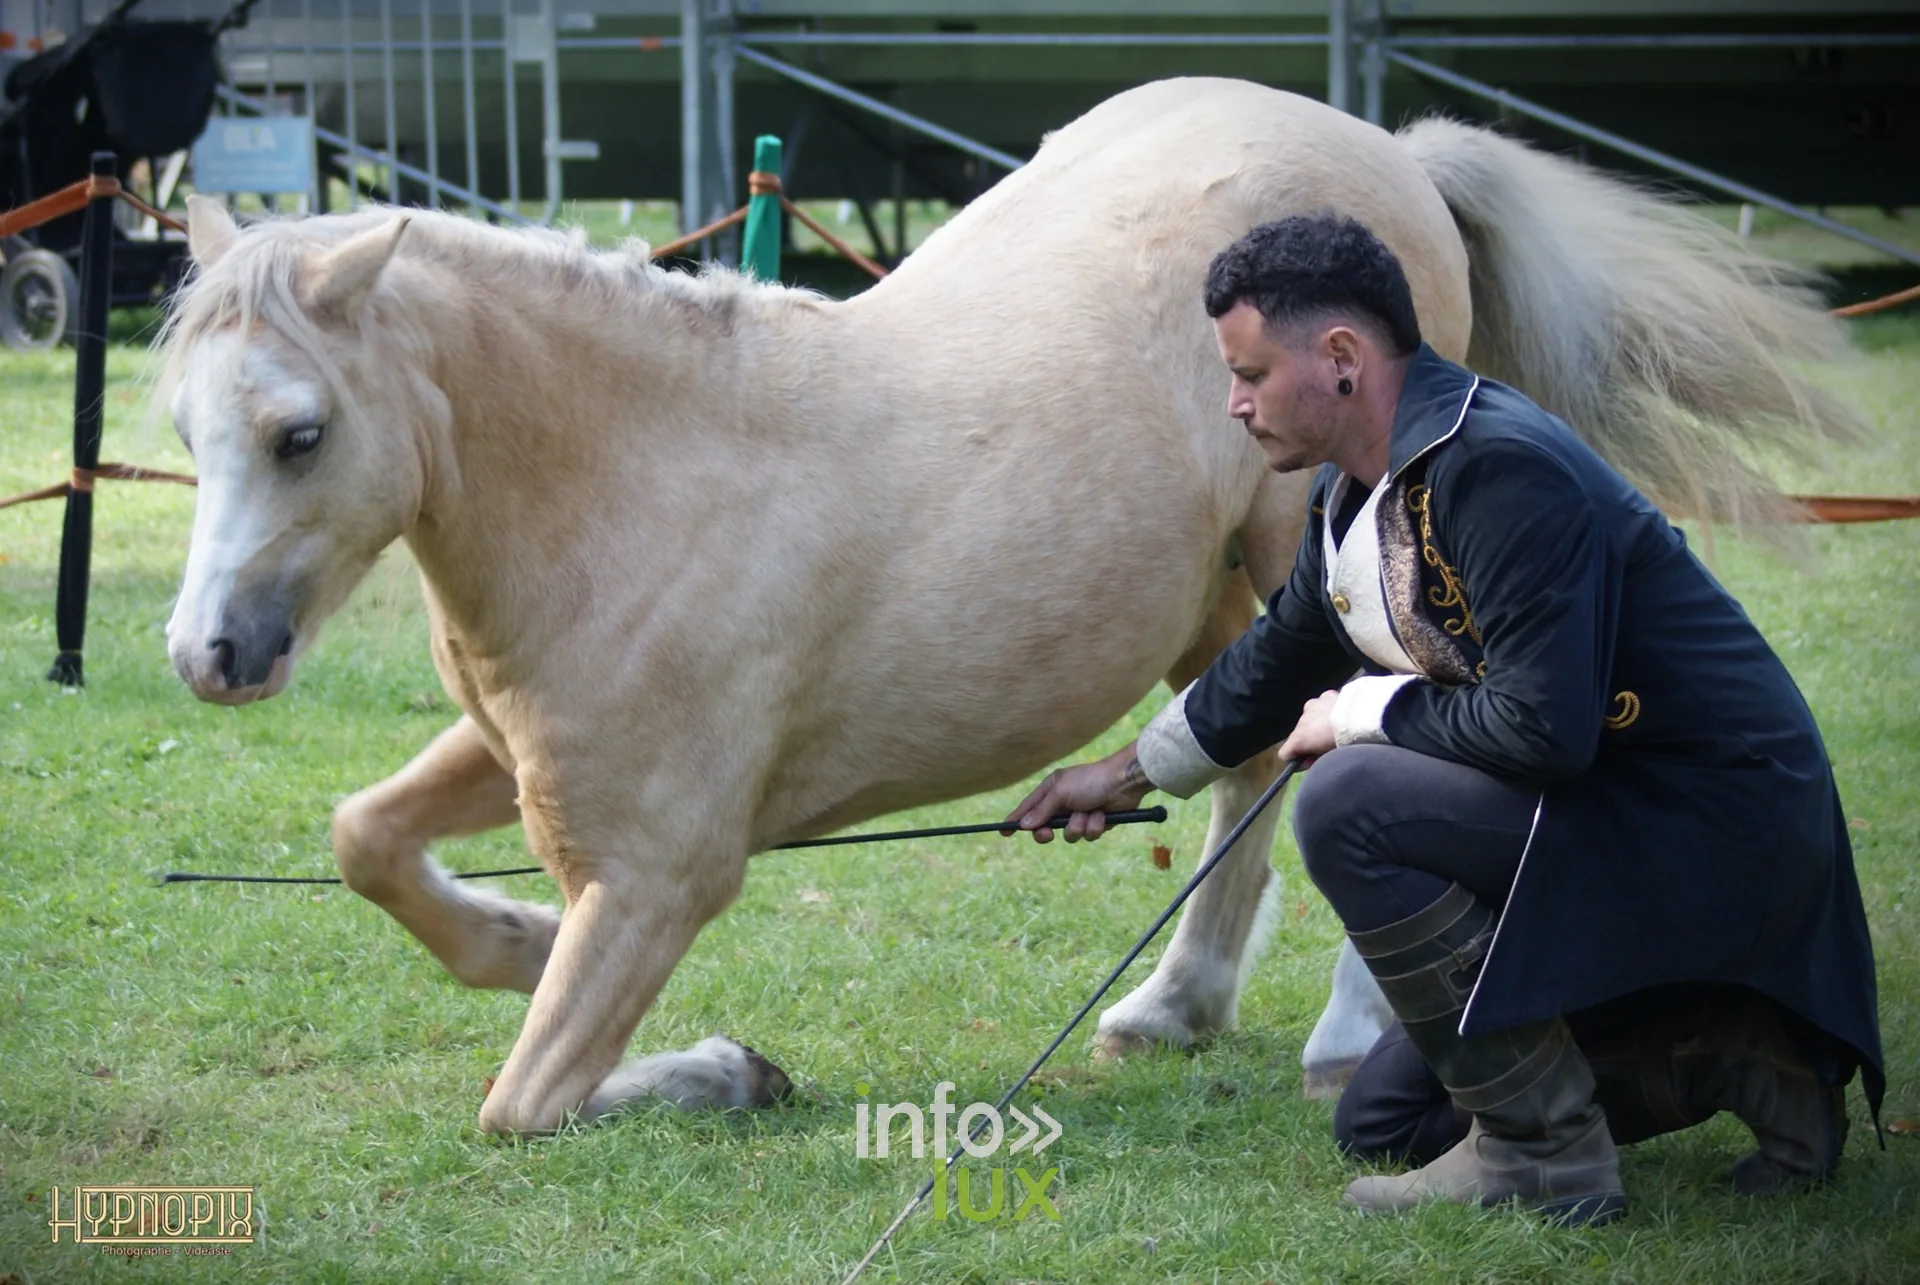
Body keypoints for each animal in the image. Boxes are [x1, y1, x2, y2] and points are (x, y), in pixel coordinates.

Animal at [159, 77, 1850, 1135]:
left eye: (299, 432)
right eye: (181, 420)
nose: (208, 654)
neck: (659, 477)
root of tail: (1385, 150)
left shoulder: (658, 884)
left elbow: (521, 1102)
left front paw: (725, 1068)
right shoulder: (509, 756)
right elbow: (369, 843)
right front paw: (512, 933)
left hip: (1311, 552)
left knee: (1356, 740)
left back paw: (1344, 1038)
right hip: (1225, 600)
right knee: (1250, 757)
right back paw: (1174, 1009)